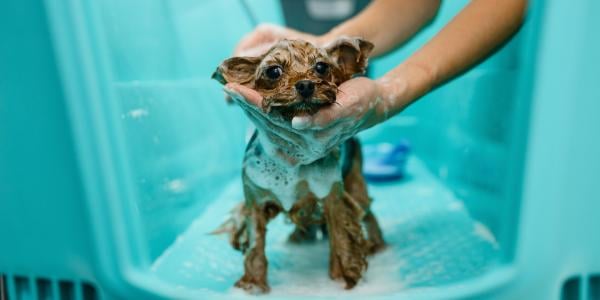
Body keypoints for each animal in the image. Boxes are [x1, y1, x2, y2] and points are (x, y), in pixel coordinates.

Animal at [213, 37, 386, 292]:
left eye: (321, 67)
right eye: (274, 71)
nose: (305, 85)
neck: (291, 160)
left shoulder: (333, 197)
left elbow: (341, 240)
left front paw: (342, 277)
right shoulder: (255, 200)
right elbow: (255, 249)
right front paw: (253, 284)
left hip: (355, 181)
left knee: (367, 213)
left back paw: (378, 245)